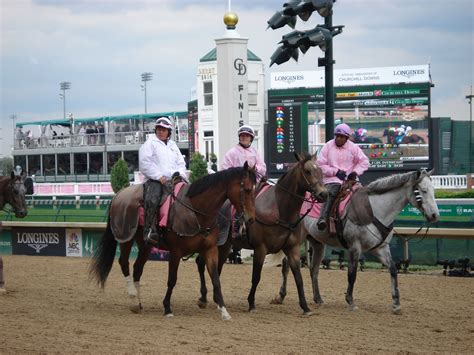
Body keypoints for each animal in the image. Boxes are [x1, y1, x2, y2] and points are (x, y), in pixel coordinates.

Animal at [90, 164, 258, 322]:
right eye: (247, 189)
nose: (251, 219)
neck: (195, 210)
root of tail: (118, 195)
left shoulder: (210, 249)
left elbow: (216, 279)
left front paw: (224, 311)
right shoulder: (176, 252)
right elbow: (172, 280)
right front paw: (167, 308)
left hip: (145, 244)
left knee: (137, 268)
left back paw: (138, 302)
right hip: (126, 238)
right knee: (124, 263)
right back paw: (133, 299)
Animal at [195, 154, 326, 316]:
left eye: (320, 170)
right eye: (308, 171)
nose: (324, 194)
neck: (280, 211)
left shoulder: (292, 248)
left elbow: (298, 277)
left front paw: (306, 307)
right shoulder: (260, 249)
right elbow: (256, 277)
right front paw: (251, 303)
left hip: (224, 246)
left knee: (214, 268)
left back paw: (215, 300)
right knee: (201, 263)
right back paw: (203, 298)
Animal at [274, 170, 440, 314]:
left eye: (433, 190)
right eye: (423, 190)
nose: (434, 215)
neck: (374, 210)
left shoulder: (381, 248)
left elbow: (393, 269)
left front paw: (396, 303)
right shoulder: (355, 247)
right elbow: (352, 274)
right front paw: (350, 301)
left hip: (317, 243)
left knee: (313, 269)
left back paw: (318, 299)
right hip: (295, 241)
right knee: (286, 266)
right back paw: (281, 296)